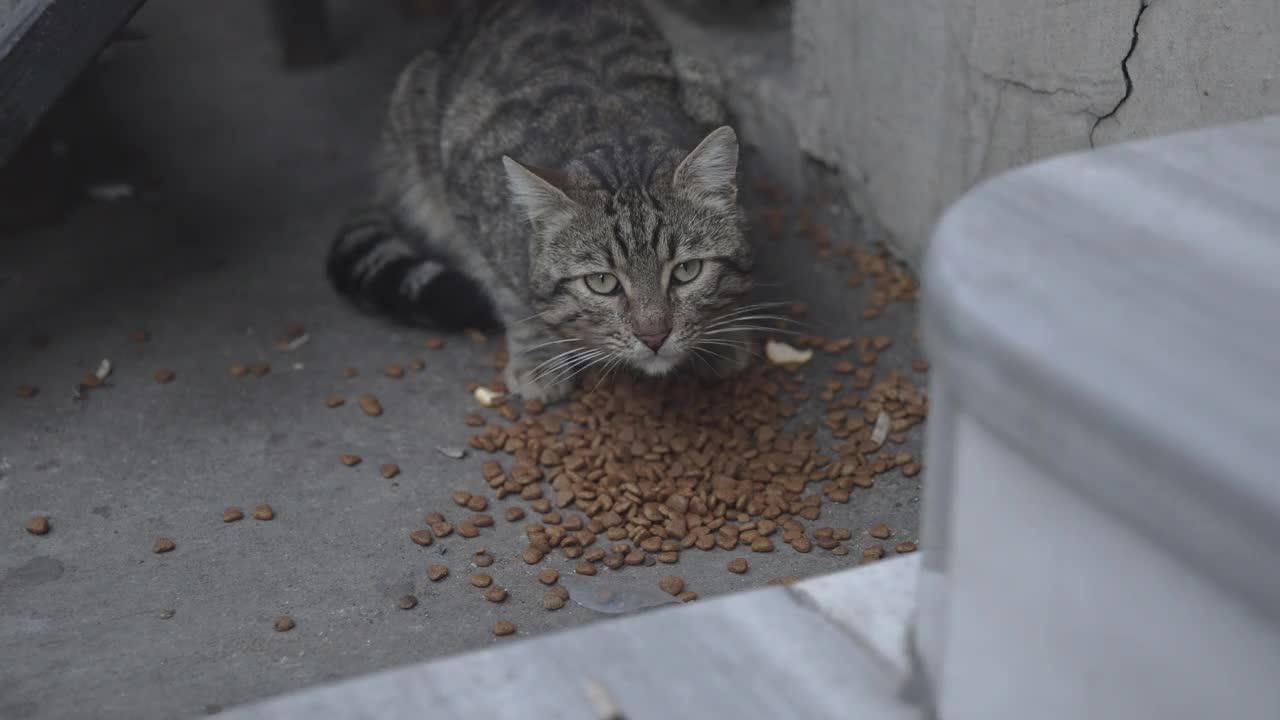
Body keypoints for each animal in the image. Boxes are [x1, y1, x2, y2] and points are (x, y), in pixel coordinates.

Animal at [325, 0, 757, 399]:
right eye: (602, 282)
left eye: (687, 271)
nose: (654, 336)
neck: (614, 126)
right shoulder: (466, 187)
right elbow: (509, 292)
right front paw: (537, 355)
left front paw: (722, 338)